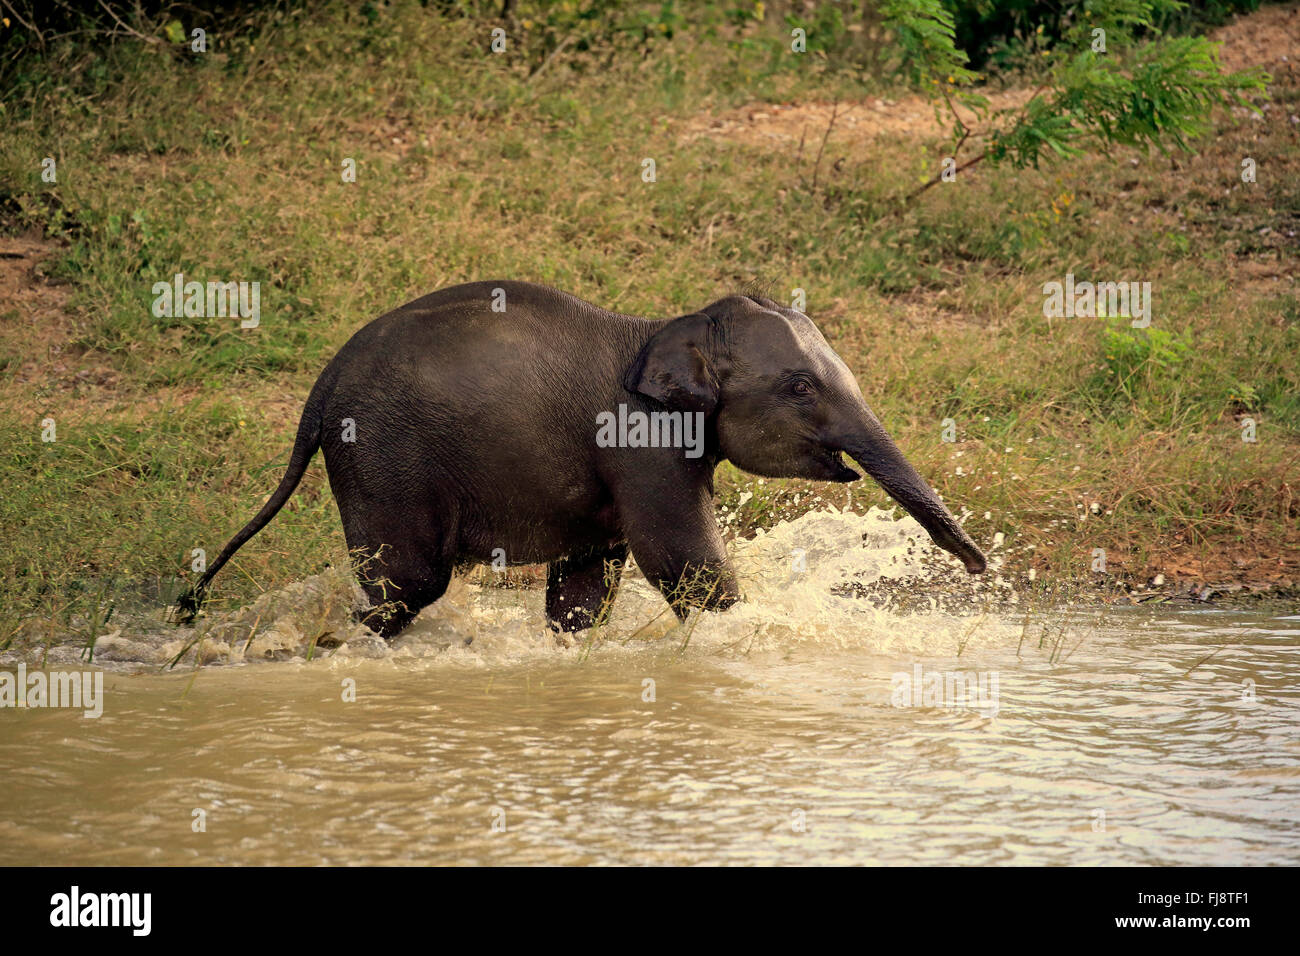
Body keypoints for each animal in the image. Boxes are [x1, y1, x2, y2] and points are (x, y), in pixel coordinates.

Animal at [175, 280, 982, 639]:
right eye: (801, 387)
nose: (979, 567)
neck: (665, 327)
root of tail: (320, 387)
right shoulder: (642, 443)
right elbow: (682, 560)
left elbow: (587, 587)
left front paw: (574, 644)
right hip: (379, 453)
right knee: (409, 582)